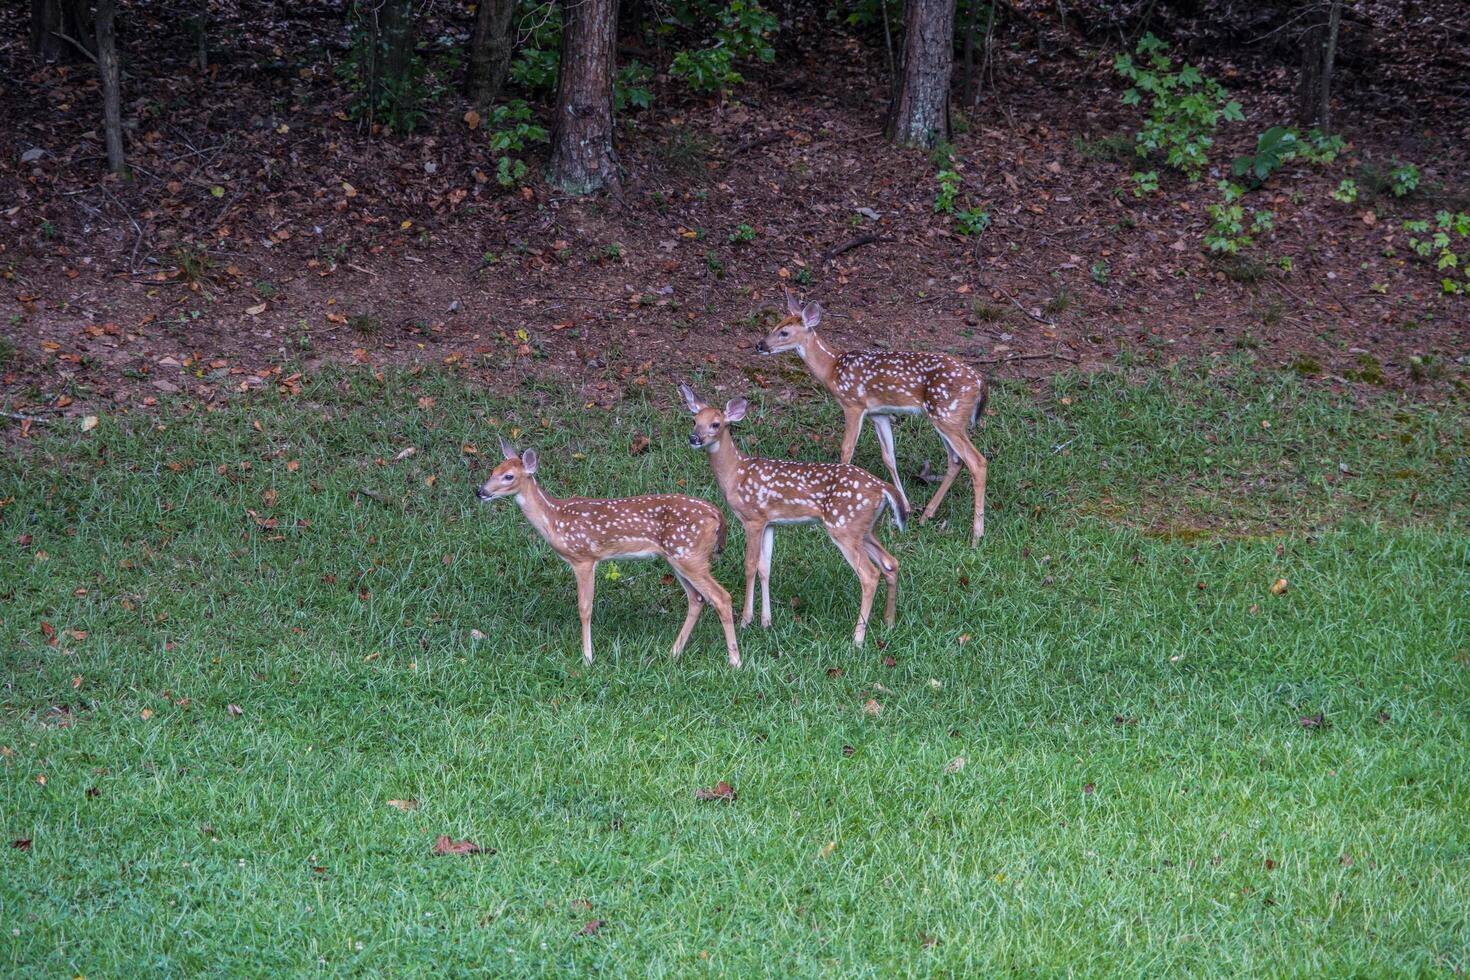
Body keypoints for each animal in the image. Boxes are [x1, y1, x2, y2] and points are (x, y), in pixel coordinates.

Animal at [479, 443, 740, 667]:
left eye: (508, 476)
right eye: (493, 471)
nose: (480, 490)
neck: (554, 519)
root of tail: (717, 514)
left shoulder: (584, 558)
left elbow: (585, 608)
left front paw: (587, 658)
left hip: (690, 554)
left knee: (721, 597)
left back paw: (734, 662)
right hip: (679, 557)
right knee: (697, 599)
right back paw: (673, 653)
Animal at [679, 384, 905, 652]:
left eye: (715, 424)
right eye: (694, 420)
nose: (694, 438)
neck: (736, 473)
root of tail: (883, 488)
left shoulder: (753, 518)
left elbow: (750, 565)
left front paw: (746, 620)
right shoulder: (771, 522)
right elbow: (765, 568)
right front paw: (766, 621)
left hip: (845, 527)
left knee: (869, 575)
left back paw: (857, 638)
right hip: (865, 529)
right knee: (891, 562)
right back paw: (889, 622)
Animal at [758, 295, 987, 549]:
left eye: (784, 332)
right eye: (775, 325)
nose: (760, 345)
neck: (832, 367)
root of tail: (979, 382)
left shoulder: (853, 404)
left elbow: (847, 449)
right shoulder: (879, 413)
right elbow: (889, 456)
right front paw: (905, 507)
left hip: (948, 415)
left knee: (977, 462)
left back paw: (976, 535)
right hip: (945, 417)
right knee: (956, 460)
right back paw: (927, 515)